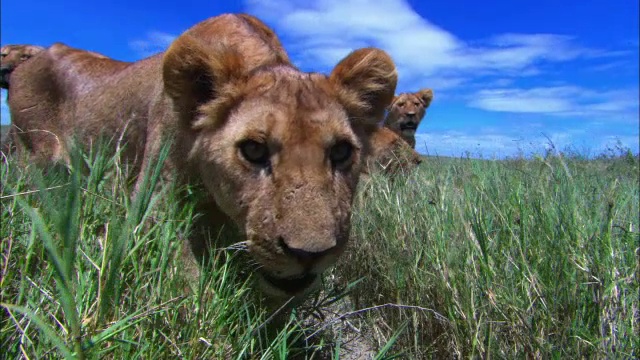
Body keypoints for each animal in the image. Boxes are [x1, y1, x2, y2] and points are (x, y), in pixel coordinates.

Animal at [7, 13, 396, 300]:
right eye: (253, 150)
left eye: (341, 152)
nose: (310, 255)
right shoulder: (153, 202)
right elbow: (190, 285)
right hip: (32, 159)